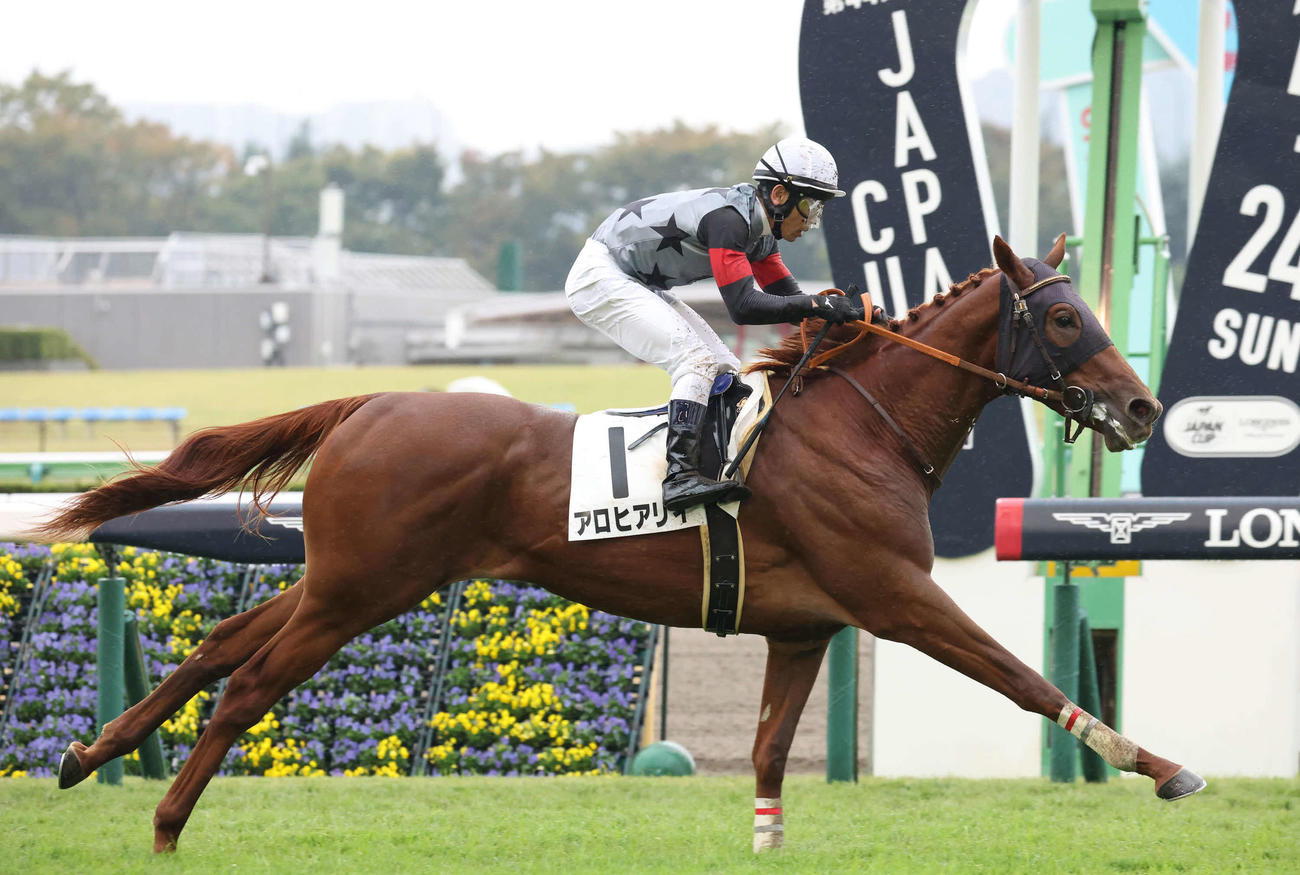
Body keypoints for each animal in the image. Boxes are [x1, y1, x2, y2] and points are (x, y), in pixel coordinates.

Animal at [36, 234, 1204, 854]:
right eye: (1063, 320)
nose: (1142, 407)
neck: (861, 423)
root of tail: (371, 401)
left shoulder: (803, 626)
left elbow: (771, 751)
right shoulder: (897, 596)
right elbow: (1021, 676)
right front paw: (1156, 764)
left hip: (348, 577)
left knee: (218, 643)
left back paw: (87, 754)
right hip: (359, 590)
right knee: (246, 685)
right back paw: (165, 823)